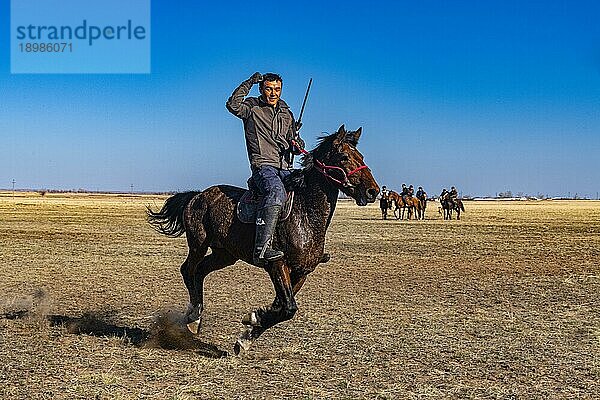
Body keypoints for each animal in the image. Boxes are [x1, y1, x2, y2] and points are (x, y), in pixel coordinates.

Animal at [147, 125, 378, 354]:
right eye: (344, 157)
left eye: (361, 156)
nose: (373, 191)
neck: (304, 214)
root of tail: (197, 195)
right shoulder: (277, 264)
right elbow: (288, 308)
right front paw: (251, 323)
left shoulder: (302, 272)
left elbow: (280, 306)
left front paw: (248, 334)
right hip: (198, 244)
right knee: (188, 269)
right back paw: (193, 317)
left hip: (225, 255)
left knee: (200, 271)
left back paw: (196, 317)